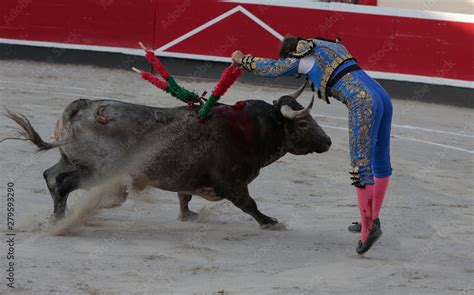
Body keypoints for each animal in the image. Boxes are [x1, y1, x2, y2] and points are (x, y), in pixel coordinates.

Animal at [3, 82, 332, 230]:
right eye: (303, 123)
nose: (328, 141)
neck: (250, 129)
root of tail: (81, 106)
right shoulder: (230, 182)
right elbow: (248, 203)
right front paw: (269, 221)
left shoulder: (189, 177)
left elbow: (184, 197)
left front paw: (188, 216)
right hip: (98, 171)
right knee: (62, 183)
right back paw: (62, 221)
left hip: (69, 159)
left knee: (51, 176)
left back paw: (58, 217)